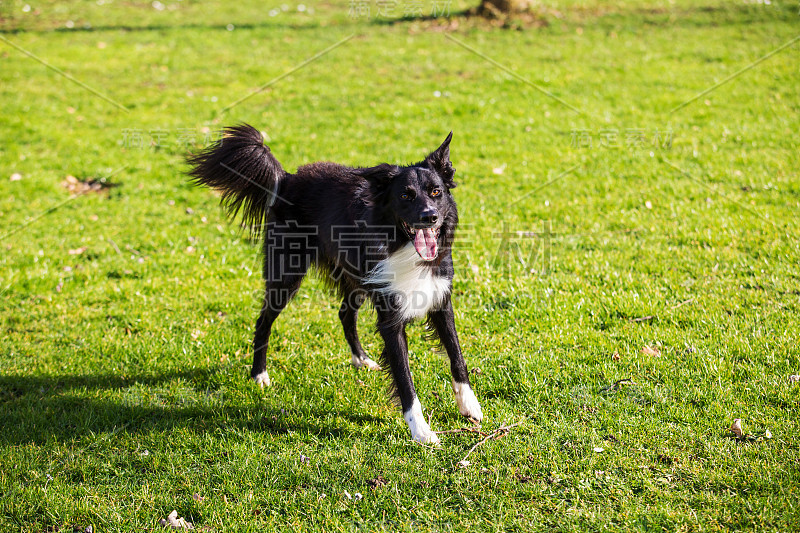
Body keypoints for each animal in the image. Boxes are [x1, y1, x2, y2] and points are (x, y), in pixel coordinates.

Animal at [188, 123, 482, 440]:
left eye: (436, 191)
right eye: (405, 196)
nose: (430, 217)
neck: (403, 246)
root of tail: (286, 179)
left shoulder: (440, 299)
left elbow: (456, 354)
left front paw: (469, 405)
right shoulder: (391, 320)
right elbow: (405, 378)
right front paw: (421, 432)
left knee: (344, 313)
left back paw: (361, 359)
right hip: (287, 274)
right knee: (263, 320)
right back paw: (259, 374)